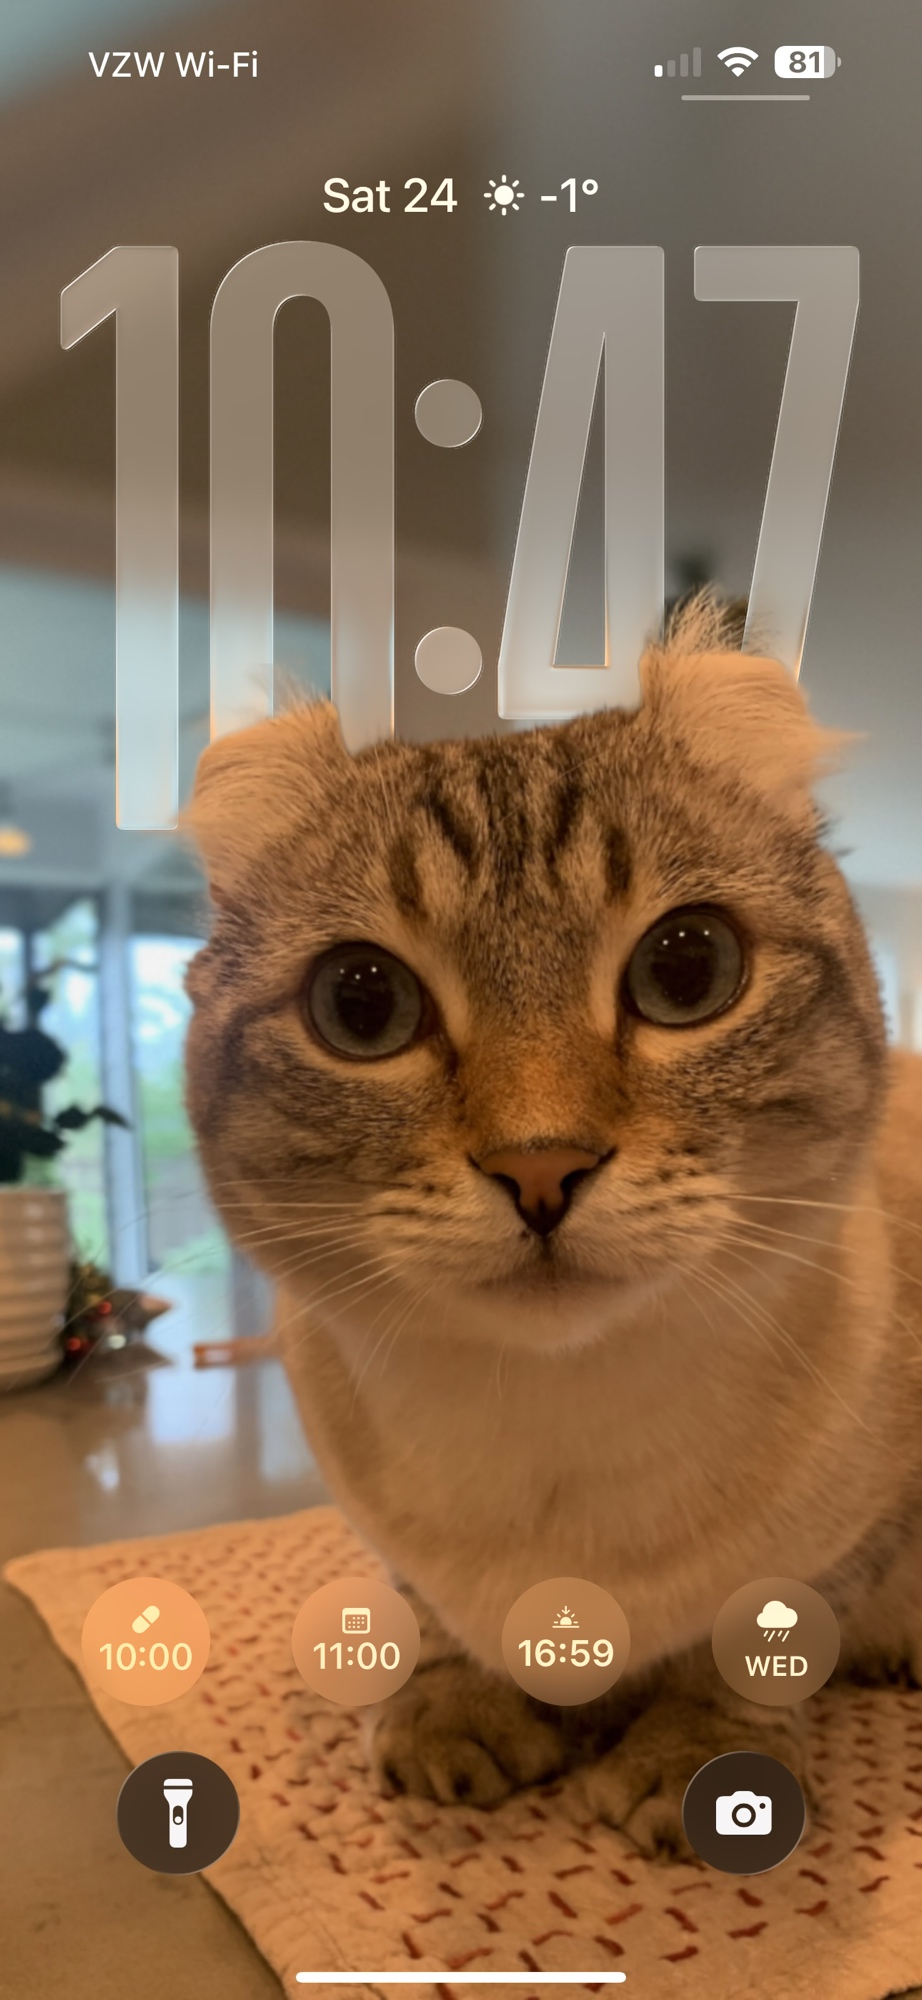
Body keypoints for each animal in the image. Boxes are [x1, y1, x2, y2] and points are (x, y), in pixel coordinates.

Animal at [184, 596, 922, 1857]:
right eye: (361, 1003)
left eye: (688, 968)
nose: (541, 1164)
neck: (551, 1424)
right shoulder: (378, 1522)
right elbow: (431, 1612)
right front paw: (457, 1706)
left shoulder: (849, 1531)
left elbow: (756, 1643)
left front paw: (695, 1758)